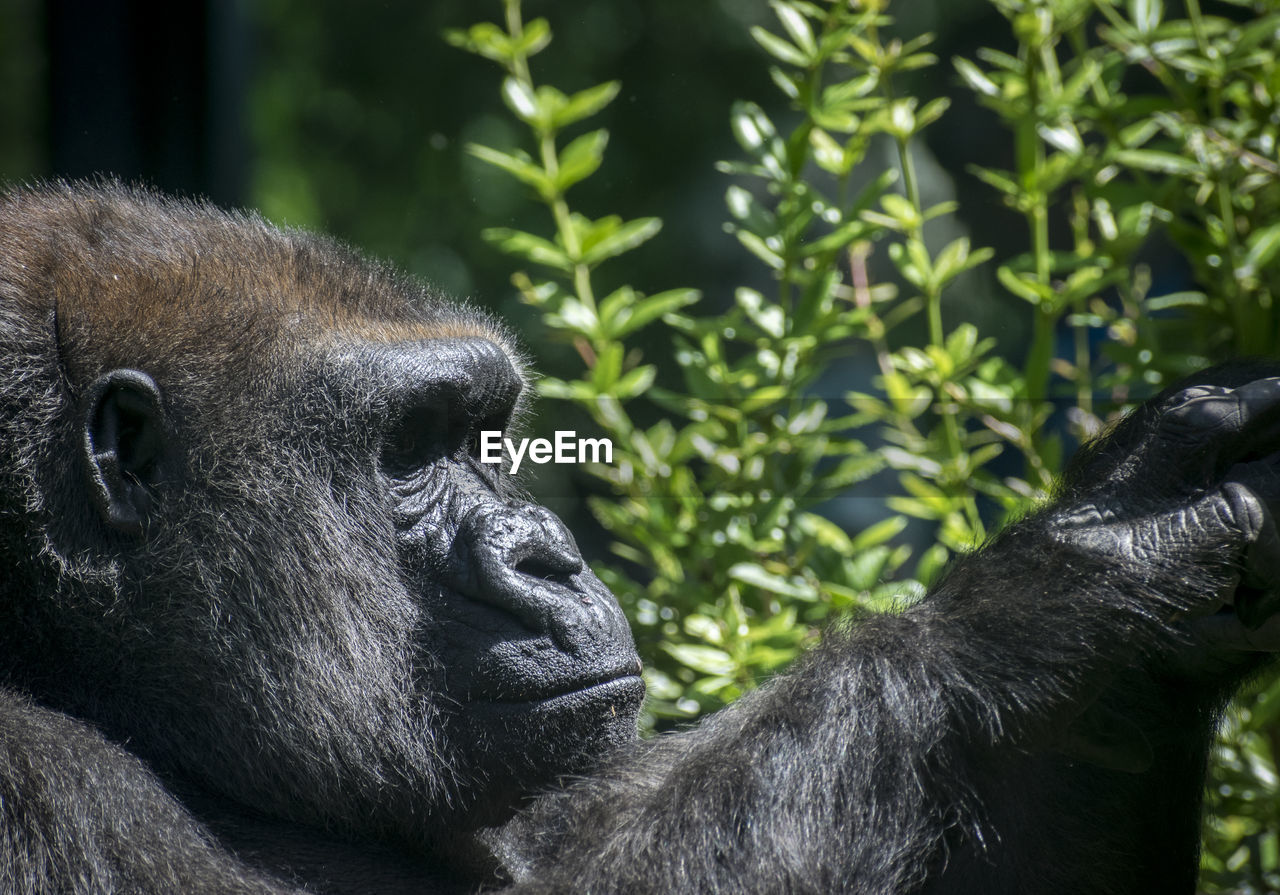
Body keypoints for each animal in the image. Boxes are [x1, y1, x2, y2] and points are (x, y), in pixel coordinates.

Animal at [0, 184, 1280, 895]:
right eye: (407, 450)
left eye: (477, 435)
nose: (550, 556)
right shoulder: (29, 778)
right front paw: (1049, 597)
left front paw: (1134, 556)